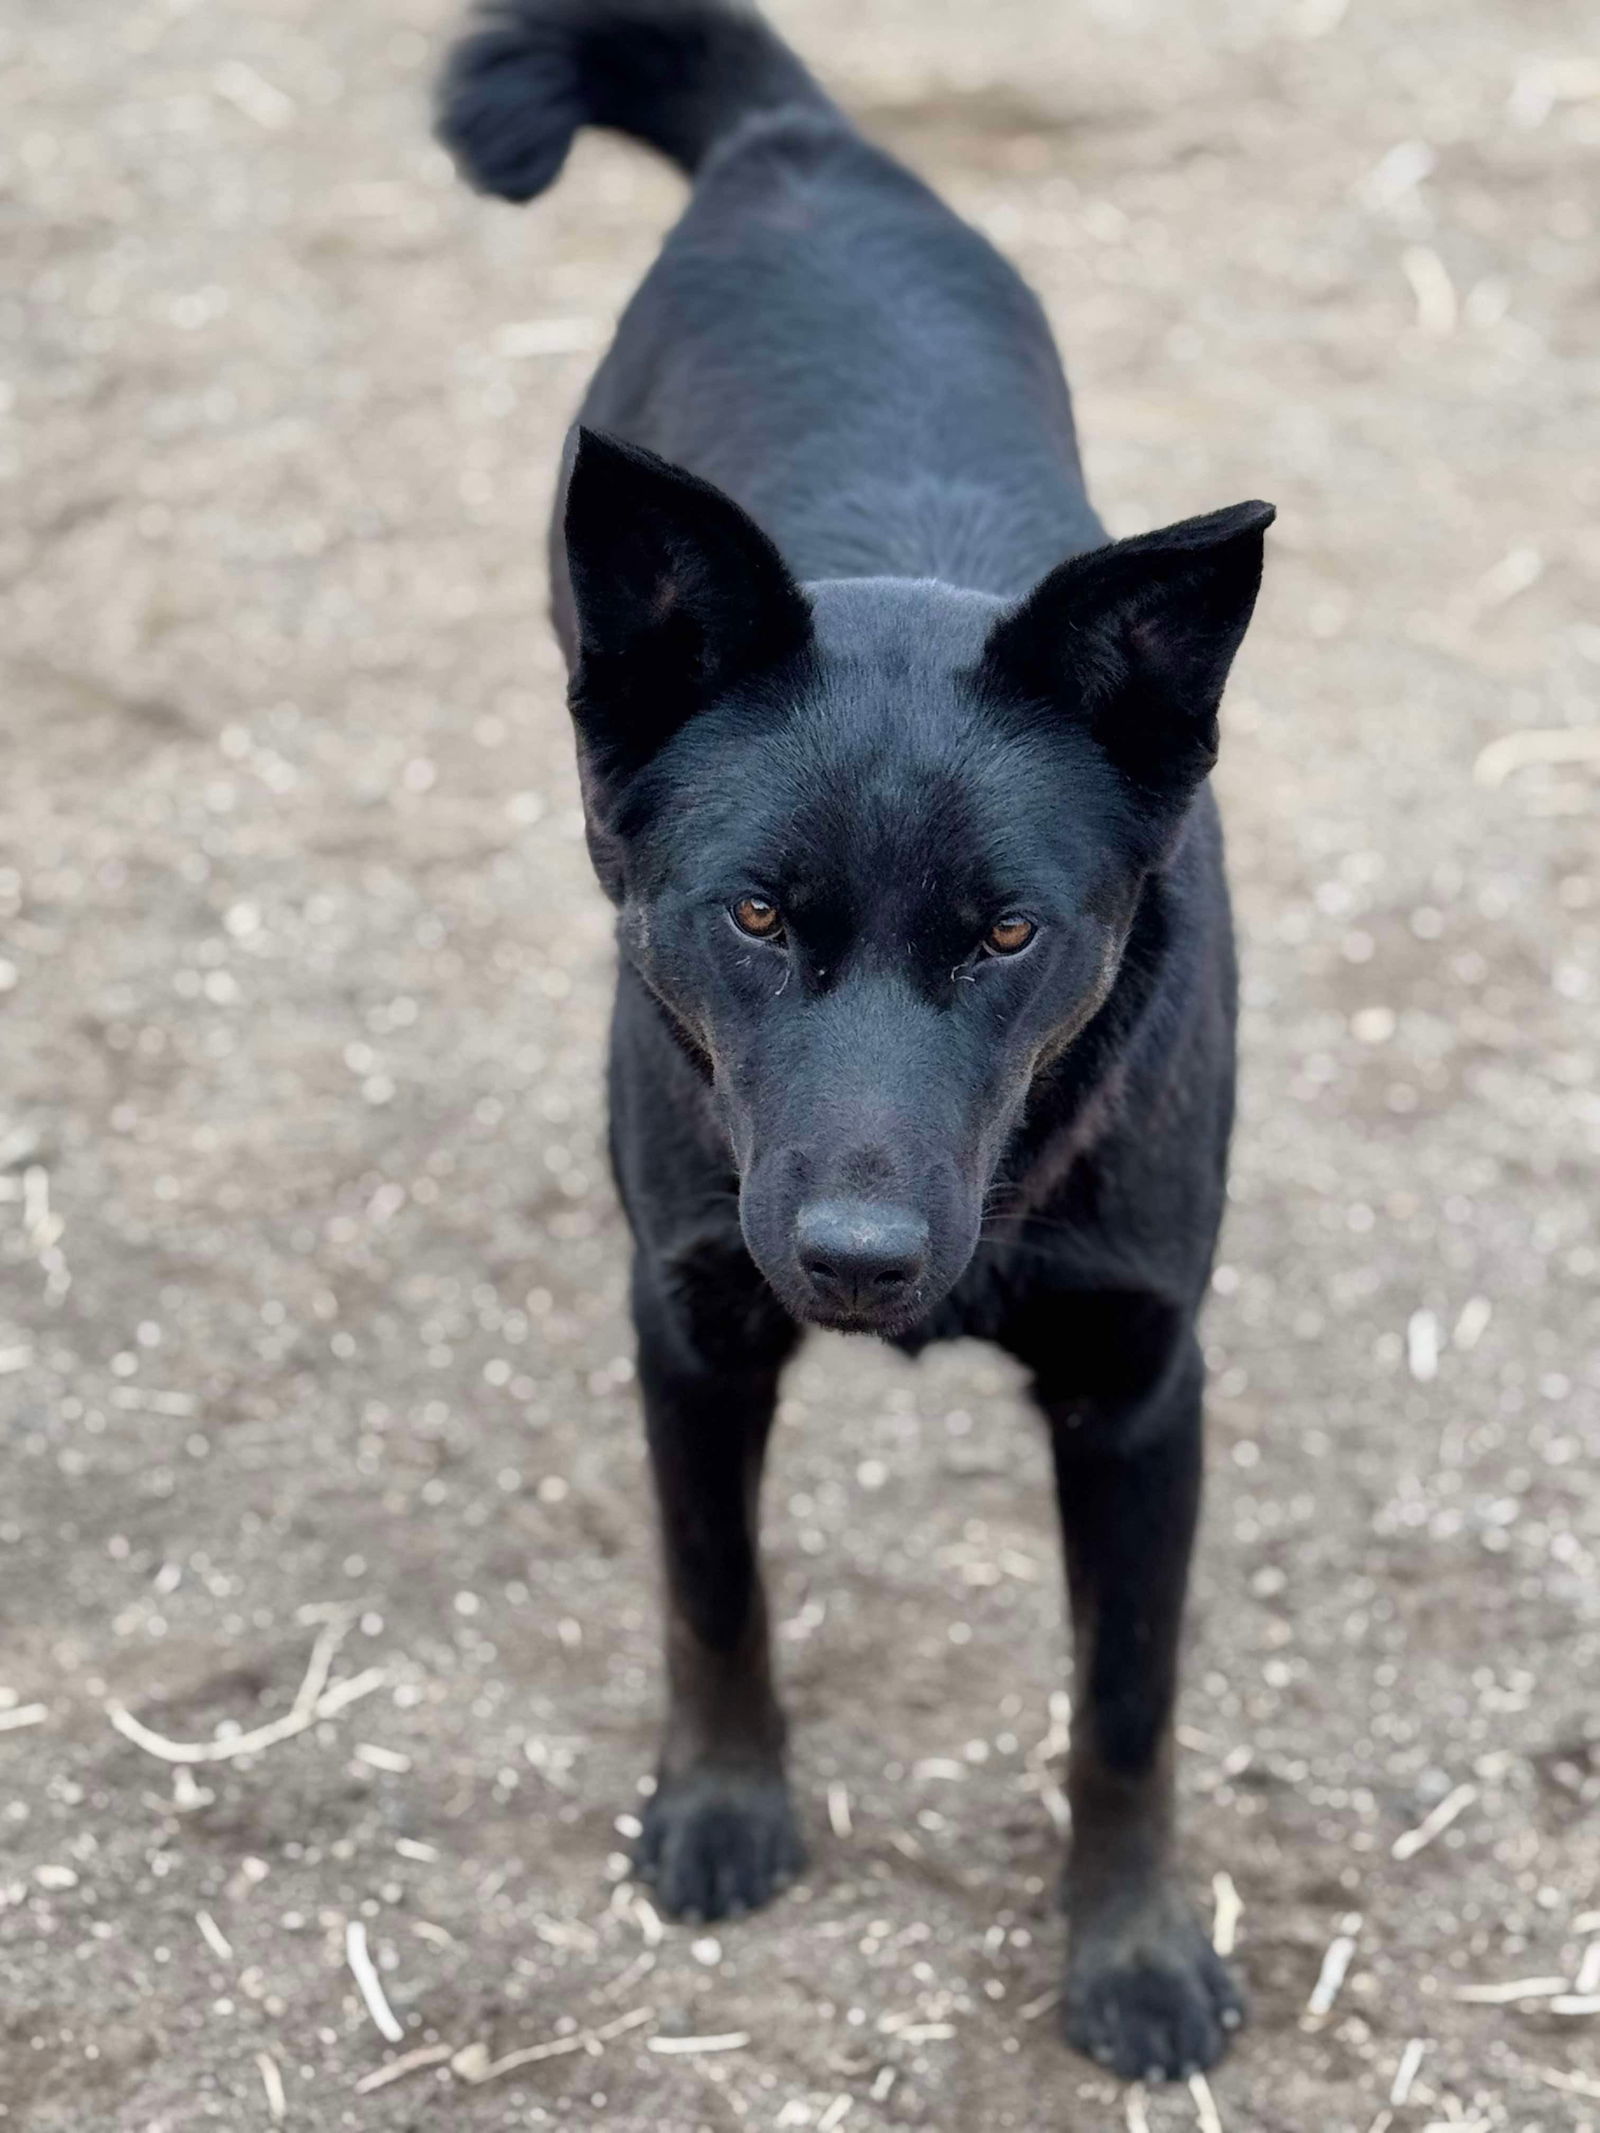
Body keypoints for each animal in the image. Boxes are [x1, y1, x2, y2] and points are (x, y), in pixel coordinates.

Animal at [439, 0, 1280, 2073]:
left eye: (1010, 934)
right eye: (754, 916)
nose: (860, 1258)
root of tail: (794, 144)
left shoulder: (1143, 1380)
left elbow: (1124, 1704)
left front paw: (1133, 1950)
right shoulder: (690, 1316)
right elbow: (714, 1586)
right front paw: (724, 1804)